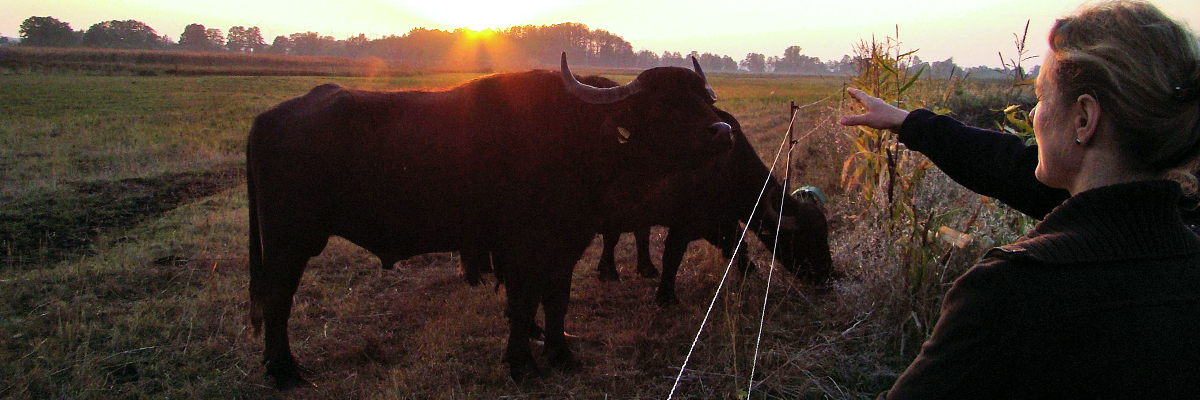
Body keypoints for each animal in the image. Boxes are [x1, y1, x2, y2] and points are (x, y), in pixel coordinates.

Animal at [244, 52, 729, 386]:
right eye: (665, 104)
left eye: (704, 98)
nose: (722, 132)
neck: (577, 137)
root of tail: (270, 118)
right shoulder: (519, 249)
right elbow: (522, 304)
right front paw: (522, 364)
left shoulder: (566, 245)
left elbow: (557, 301)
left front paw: (560, 354)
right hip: (289, 242)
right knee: (276, 300)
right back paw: (285, 371)